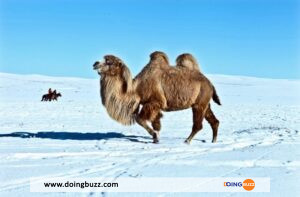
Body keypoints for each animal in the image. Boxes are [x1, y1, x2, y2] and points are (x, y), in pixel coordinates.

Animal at [92, 52, 221, 144]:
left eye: (109, 62)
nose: (95, 63)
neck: (136, 89)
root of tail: (210, 83)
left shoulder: (154, 102)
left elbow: (139, 119)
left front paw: (154, 136)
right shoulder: (153, 106)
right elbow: (156, 124)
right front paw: (156, 139)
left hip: (199, 103)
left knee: (198, 125)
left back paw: (187, 141)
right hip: (204, 103)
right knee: (214, 121)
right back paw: (213, 141)